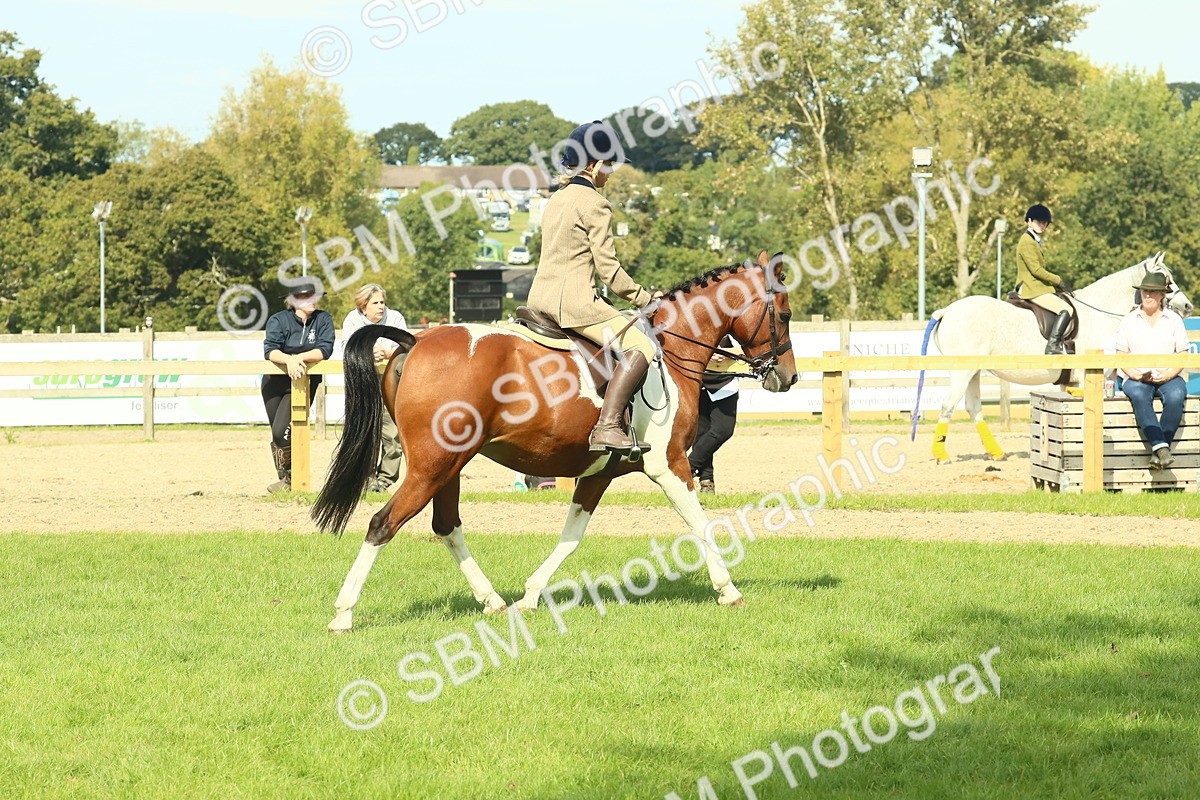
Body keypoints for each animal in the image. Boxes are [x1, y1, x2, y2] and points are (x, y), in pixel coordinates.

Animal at [311, 250, 799, 633]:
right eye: (785, 315)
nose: (787, 377)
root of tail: (415, 338)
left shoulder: (599, 473)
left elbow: (571, 536)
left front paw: (530, 596)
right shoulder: (671, 465)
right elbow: (700, 524)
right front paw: (728, 589)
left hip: (449, 466)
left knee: (446, 526)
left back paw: (493, 601)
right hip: (434, 465)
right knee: (382, 524)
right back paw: (343, 614)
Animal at [917, 252, 1193, 463]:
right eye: (1167, 281)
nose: (1188, 306)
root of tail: (947, 311)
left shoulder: (1071, 382)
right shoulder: (1090, 377)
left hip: (973, 372)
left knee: (973, 408)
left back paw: (997, 453)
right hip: (962, 373)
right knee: (948, 407)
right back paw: (942, 455)